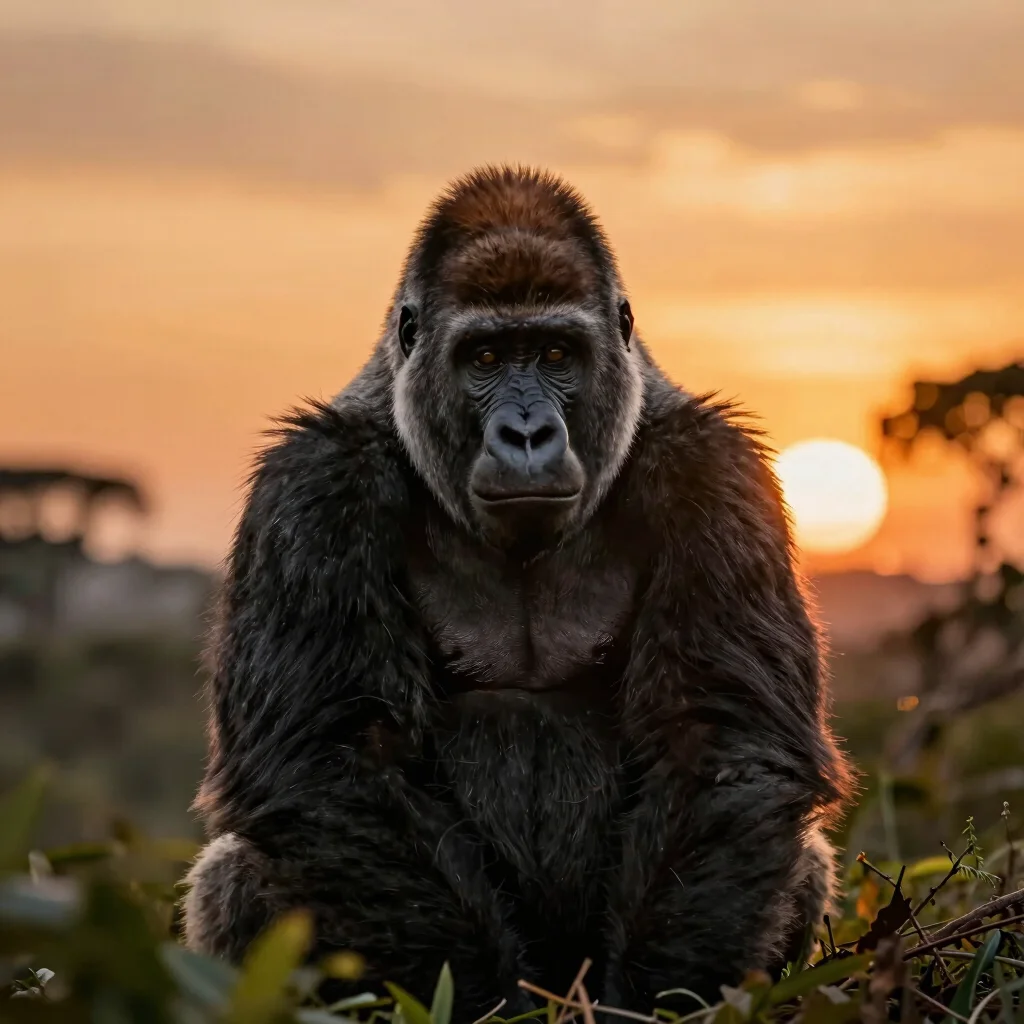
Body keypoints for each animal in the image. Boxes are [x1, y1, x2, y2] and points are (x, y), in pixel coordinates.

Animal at [182, 165, 853, 1019]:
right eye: (487, 356)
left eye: (557, 353)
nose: (527, 434)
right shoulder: (314, 482)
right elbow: (332, 755)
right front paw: (476, 1000)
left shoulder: (716, 471)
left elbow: (716, 736)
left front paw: (657, 996)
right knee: (236, 871)